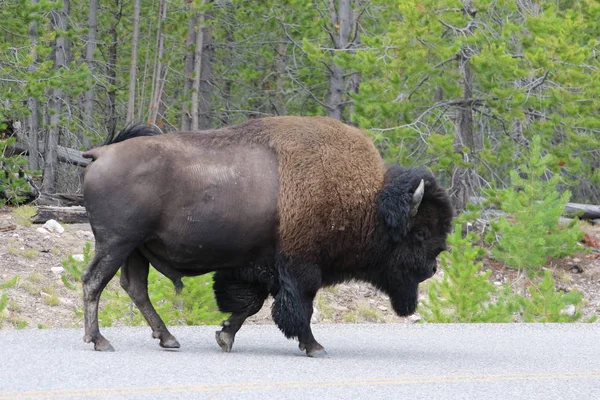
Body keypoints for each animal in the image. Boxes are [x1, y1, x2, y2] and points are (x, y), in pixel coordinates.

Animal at [81, 115, 454, 356]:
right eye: (420, 232)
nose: (432, 268)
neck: (368, 201)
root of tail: (102, 152)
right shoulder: (299, 267)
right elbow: (297, 307)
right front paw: (315, 347)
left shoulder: (261, 267)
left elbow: (252, 304)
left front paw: (225, 336)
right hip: (116, 244)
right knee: (94, 282)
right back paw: (100, 341)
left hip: (136, 250)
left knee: (134, 288)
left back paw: (168, 339)